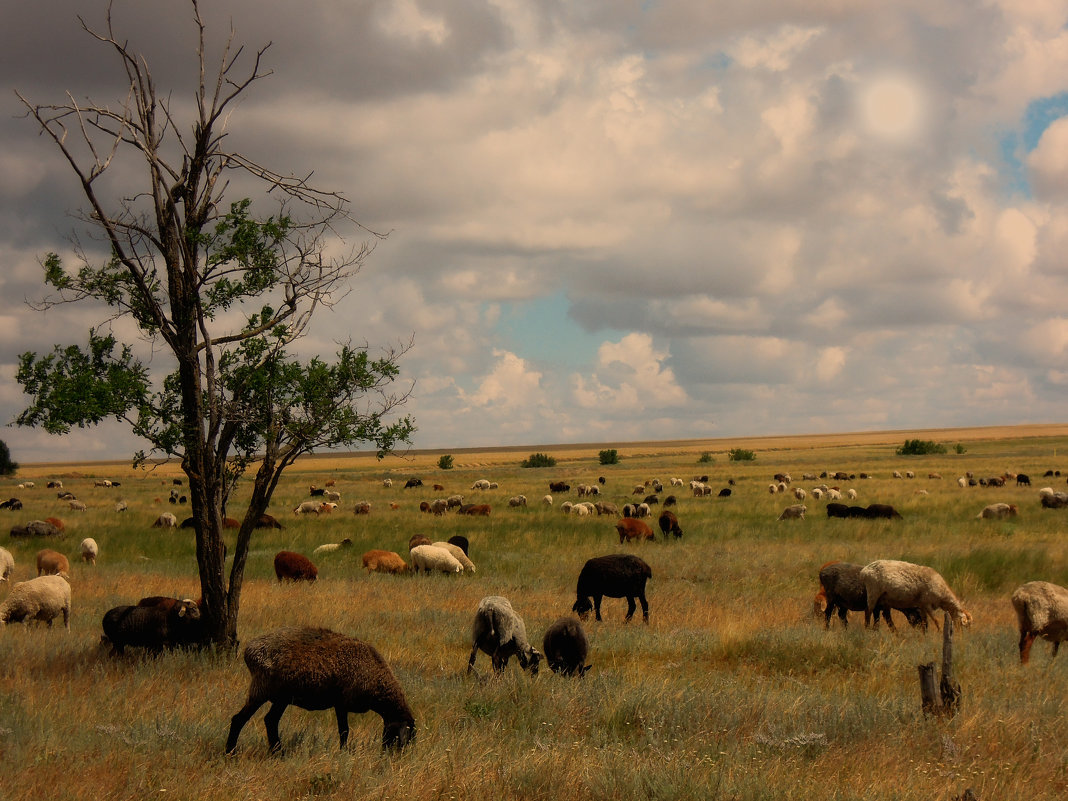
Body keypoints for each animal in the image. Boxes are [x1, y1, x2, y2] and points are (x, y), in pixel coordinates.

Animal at [223, 632, 414, 756]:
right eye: (401, 739)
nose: (393, 760)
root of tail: (249, 650)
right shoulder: (341, 703)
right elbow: (344, 730)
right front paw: (344, 753)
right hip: (261, 690)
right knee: (239, 719)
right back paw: (231, 753)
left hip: (281, 698)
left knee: (270, 720)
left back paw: (278, 753)